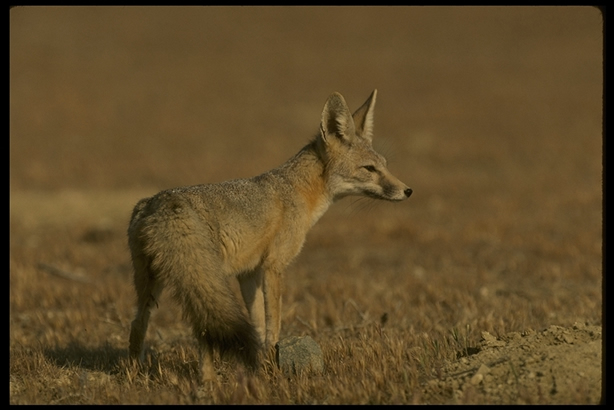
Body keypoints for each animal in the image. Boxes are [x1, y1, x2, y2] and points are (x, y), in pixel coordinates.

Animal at [127, 89, 414, 382]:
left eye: (385, 166)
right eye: (369, 169)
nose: (407, 191)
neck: (299, 191)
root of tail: (163, 201)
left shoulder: (249, 273)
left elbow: (256, 323)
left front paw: (260, 361)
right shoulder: (274, 266)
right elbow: (272, 323)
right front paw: (272, 363)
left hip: (155, 282)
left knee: (138, 324)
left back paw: (134, 371)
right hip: (201, 281)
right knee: (202, 331)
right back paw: (207, 381)